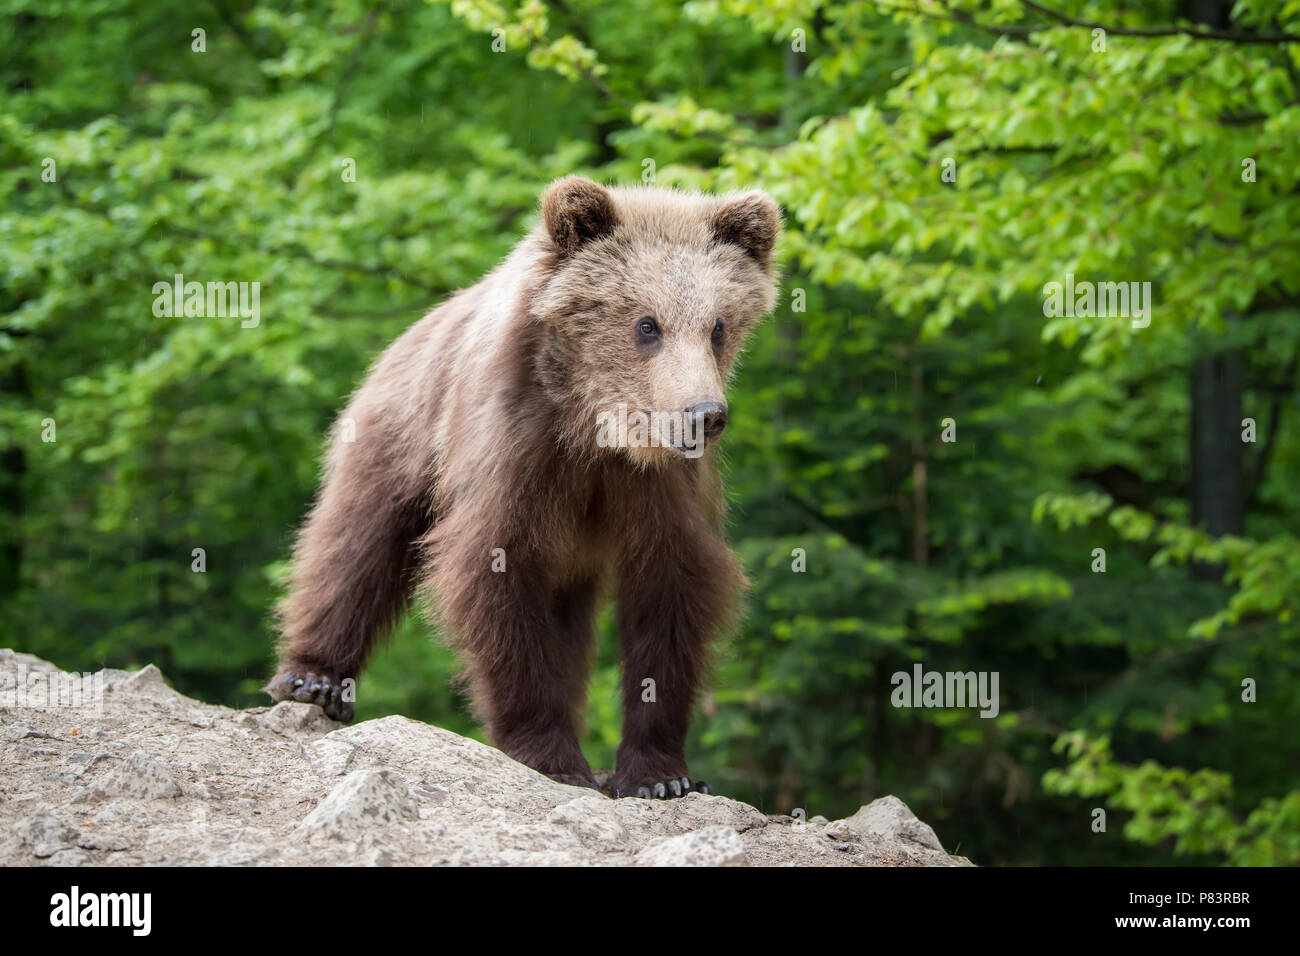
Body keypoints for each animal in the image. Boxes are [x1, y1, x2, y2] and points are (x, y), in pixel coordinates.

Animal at [265, 176, 781, 798]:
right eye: (647, 325)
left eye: (718, 327)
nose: (704, 415)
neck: (594, 430)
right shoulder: (516, 453)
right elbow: (499, 580)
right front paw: (550, 756)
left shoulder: (658, 487)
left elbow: (671, 592)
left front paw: (660, 775)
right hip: (402, 431)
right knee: (355, 542)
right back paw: (312, 678)